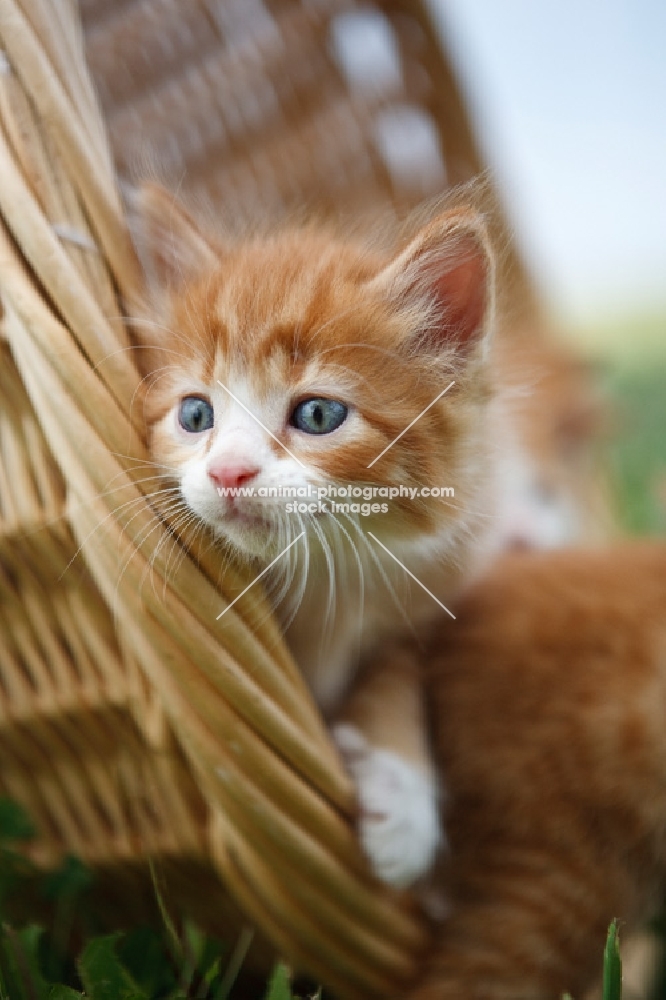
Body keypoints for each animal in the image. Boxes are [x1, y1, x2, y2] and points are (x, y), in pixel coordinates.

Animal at [130, 184, 496, 888]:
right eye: (196, 413)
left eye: (319, 415)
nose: (228, 471)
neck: (319, 582)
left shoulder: (407, 608)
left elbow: (396, 678)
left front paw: (403, 797)